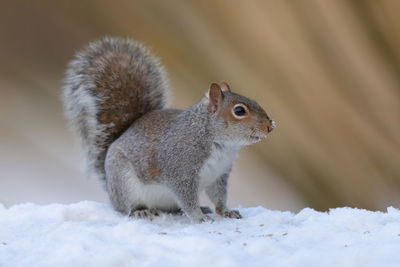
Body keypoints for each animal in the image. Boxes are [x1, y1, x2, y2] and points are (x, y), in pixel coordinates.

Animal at [62, 36, 276, 223]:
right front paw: (198, 217)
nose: (270, 126)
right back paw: (140, 211)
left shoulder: (219, 175)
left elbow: (219, 196)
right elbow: (187, 197)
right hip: (123, 181)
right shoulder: (180, 169)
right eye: (239, 111)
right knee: (126, 207)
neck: (215, 140)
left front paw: (225, 211)